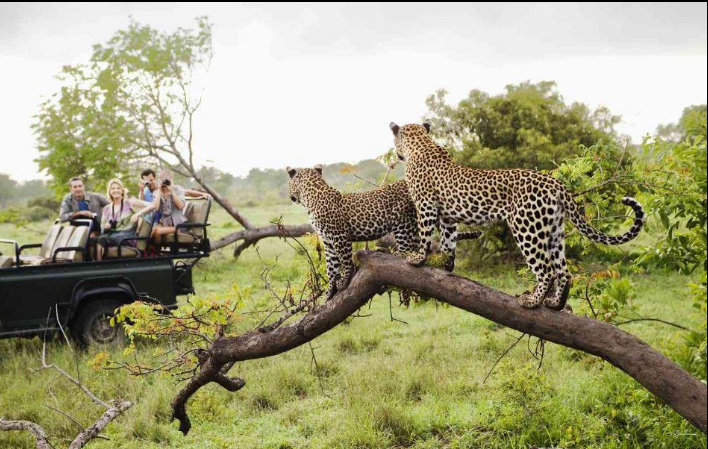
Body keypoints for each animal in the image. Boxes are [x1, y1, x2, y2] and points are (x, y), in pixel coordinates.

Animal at [287, 165, 479, 300]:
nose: (290, 197)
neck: (311, 197)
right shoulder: (327, 241)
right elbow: (331, 267)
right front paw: (329, 292)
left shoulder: (339, 236)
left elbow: (345, 261)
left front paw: (344, 280)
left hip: (403, 222)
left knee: (408, 250)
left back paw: (391, 253)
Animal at [389, 122, 645, 311]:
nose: (396, 154)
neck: (421, 144)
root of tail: (557, 184)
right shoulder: (448, 216)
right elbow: (449, 240)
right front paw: (446, 264)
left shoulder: (425, 205)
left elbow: (425, 233)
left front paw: (417, 258)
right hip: (553, 231)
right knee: (564, 271)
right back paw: (555, 303)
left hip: (527, 227)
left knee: (547, 270)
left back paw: (532, 301)